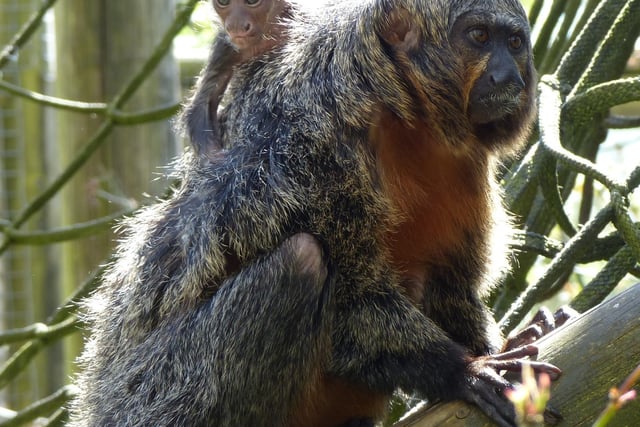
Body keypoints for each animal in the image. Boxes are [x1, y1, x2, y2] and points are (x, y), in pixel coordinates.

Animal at [179, 0, 292, 157]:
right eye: (223, 2)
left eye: (252, 2)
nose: (235, 26)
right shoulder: (225, 44)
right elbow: (203, 101)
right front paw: (216, 159)